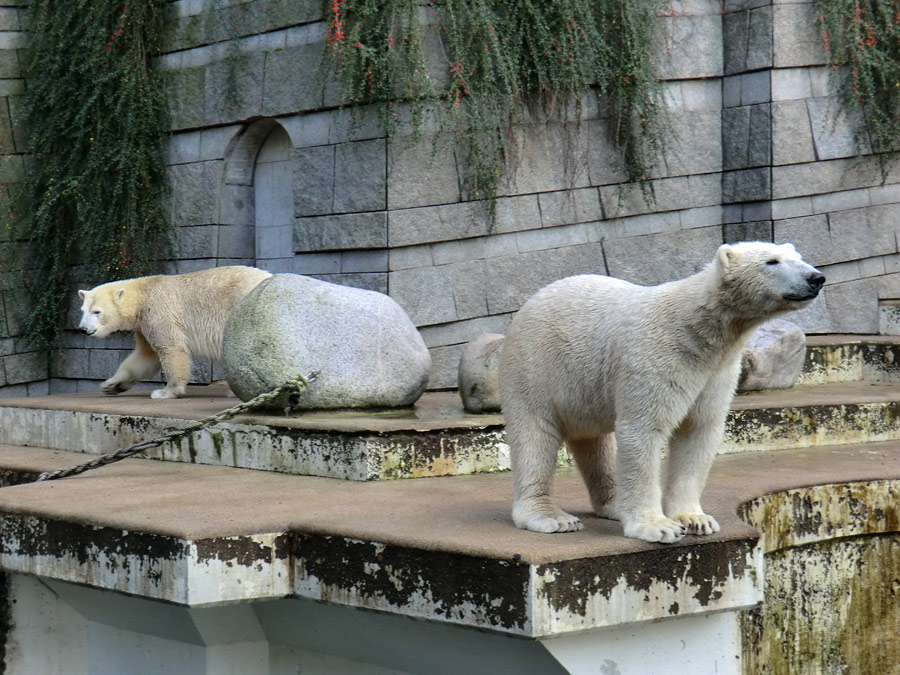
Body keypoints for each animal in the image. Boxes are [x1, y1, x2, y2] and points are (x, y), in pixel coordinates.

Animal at [78, 266, 268, 402]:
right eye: (83, 310)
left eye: (97, 312)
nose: (83, 329)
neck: (143, 294)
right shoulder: (142, 325)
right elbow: (145, 357)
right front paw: (111, 385)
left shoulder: (158, 312)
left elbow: (170, 348)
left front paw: (165, 392)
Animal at [502, 243, 828, 544]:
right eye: (771, 261)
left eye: (798, 257)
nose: (816, 277)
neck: (699, 330)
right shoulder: (657, 357)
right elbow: (644, 431)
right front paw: (658, 526)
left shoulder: (717, 372)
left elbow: (699, 431)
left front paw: (695, 519)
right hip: (537, 367)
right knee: (535, 436)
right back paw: (552, 517)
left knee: (595, 442)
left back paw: (614, 503)